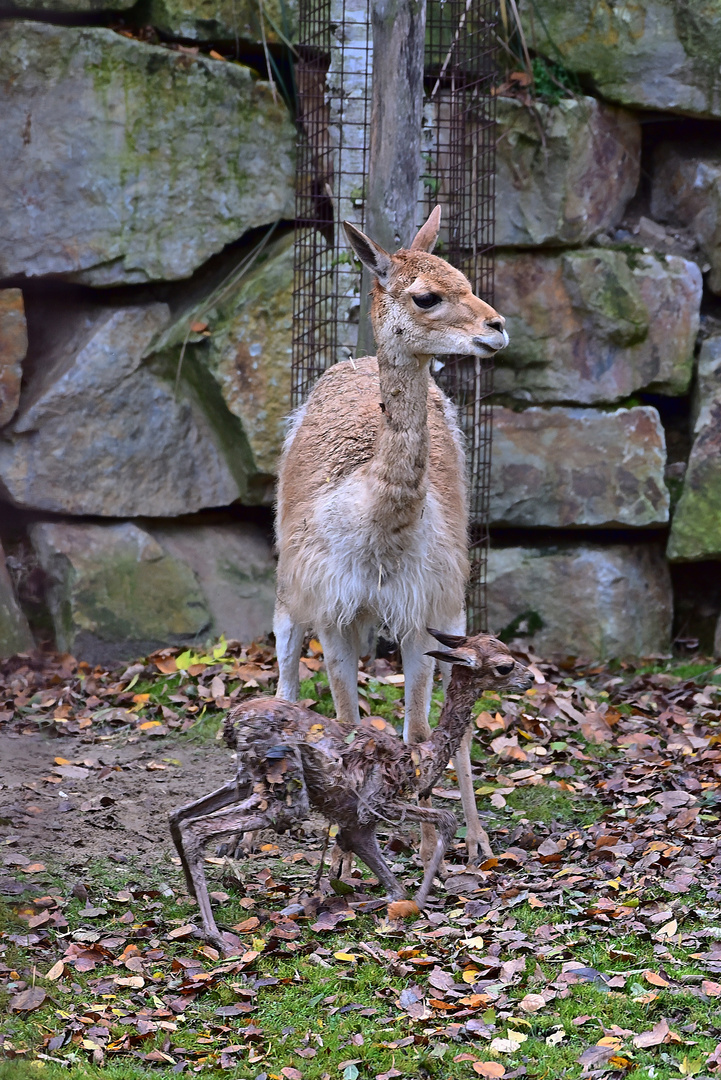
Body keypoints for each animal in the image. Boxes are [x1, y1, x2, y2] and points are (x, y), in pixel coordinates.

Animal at [169, 630, 528, 950]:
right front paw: (421, 899)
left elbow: (393, 887)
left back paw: (192, 897)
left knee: (179, 814)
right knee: (198, 828)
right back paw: (215, 936)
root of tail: (232, 720)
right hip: (284, 796)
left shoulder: (355, 824)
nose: (529, 680)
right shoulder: (377, 804)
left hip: (246, 781)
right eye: (504, 666)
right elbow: (445, 819)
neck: (420, 759)